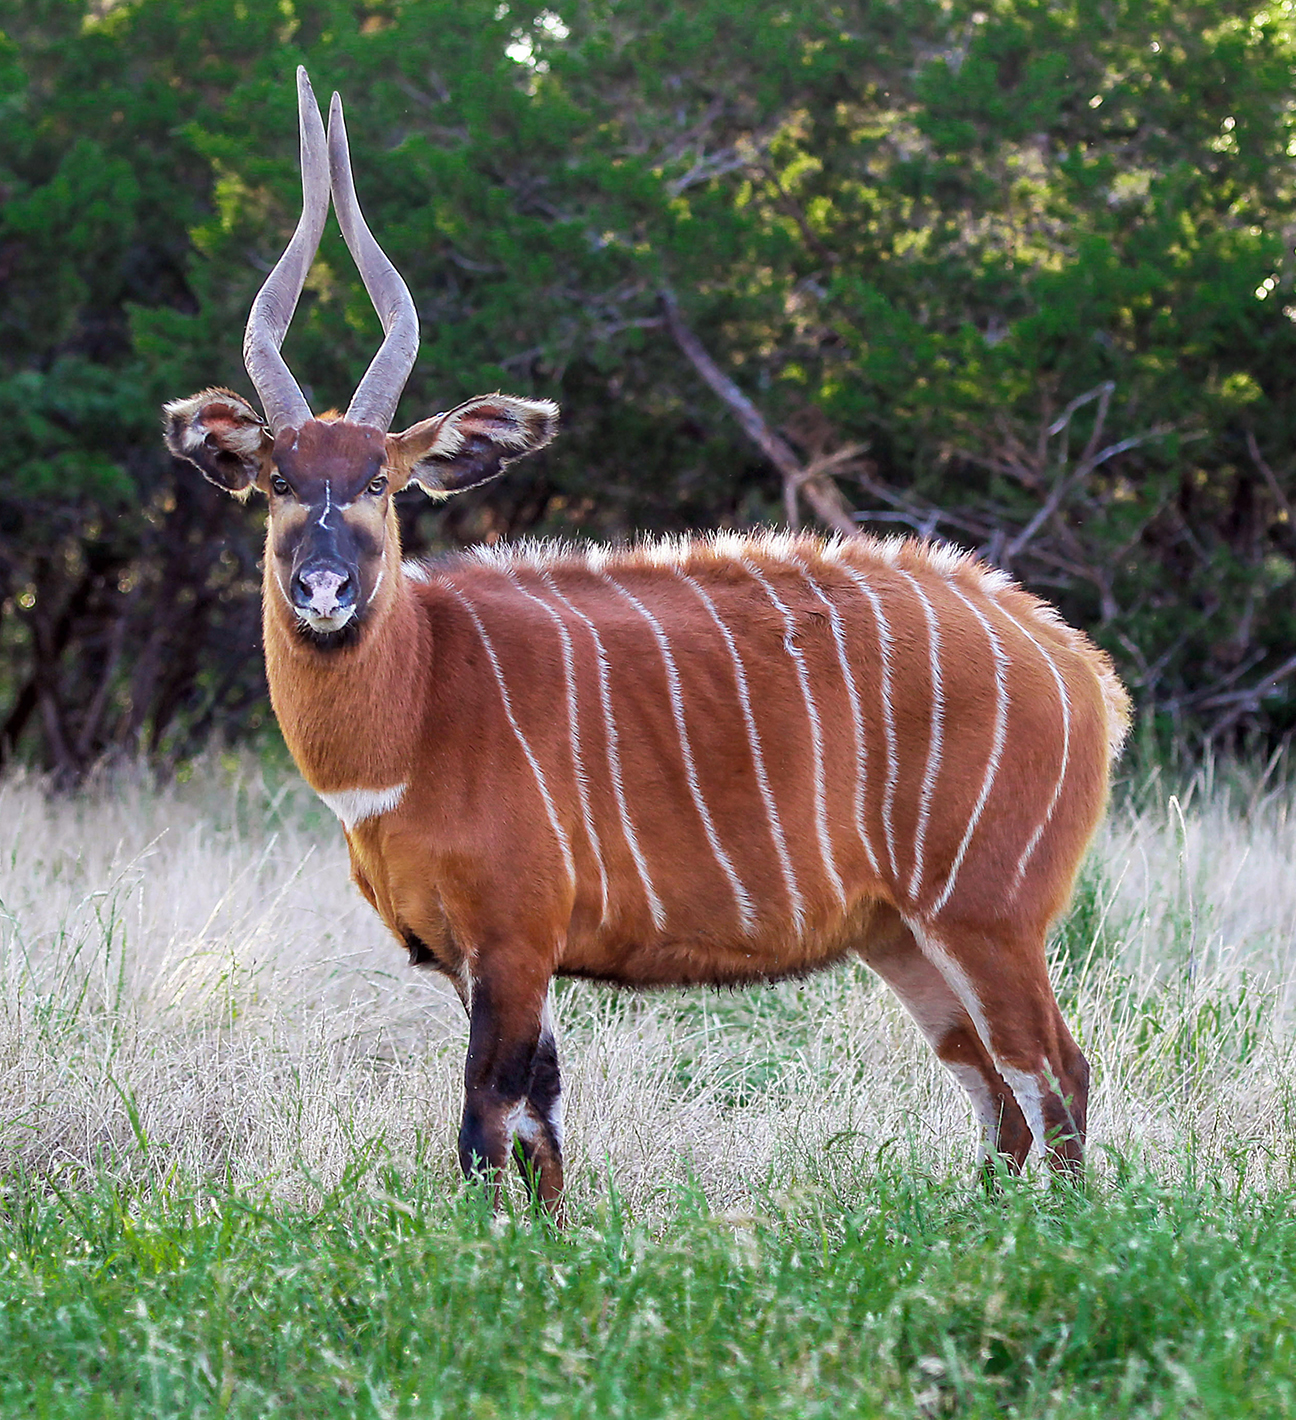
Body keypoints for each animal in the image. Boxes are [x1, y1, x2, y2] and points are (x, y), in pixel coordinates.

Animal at [164, 72, 1135, 1215]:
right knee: (1002, 1102)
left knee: (1056, 1074)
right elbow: (541, 1129)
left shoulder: (516, 940)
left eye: (378, 483)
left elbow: (485, 1124)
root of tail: (1080, 666)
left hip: (987, 917)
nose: (321, 588)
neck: (423, 700)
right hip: (905, 938)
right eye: (277, 479)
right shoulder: (474, 959)